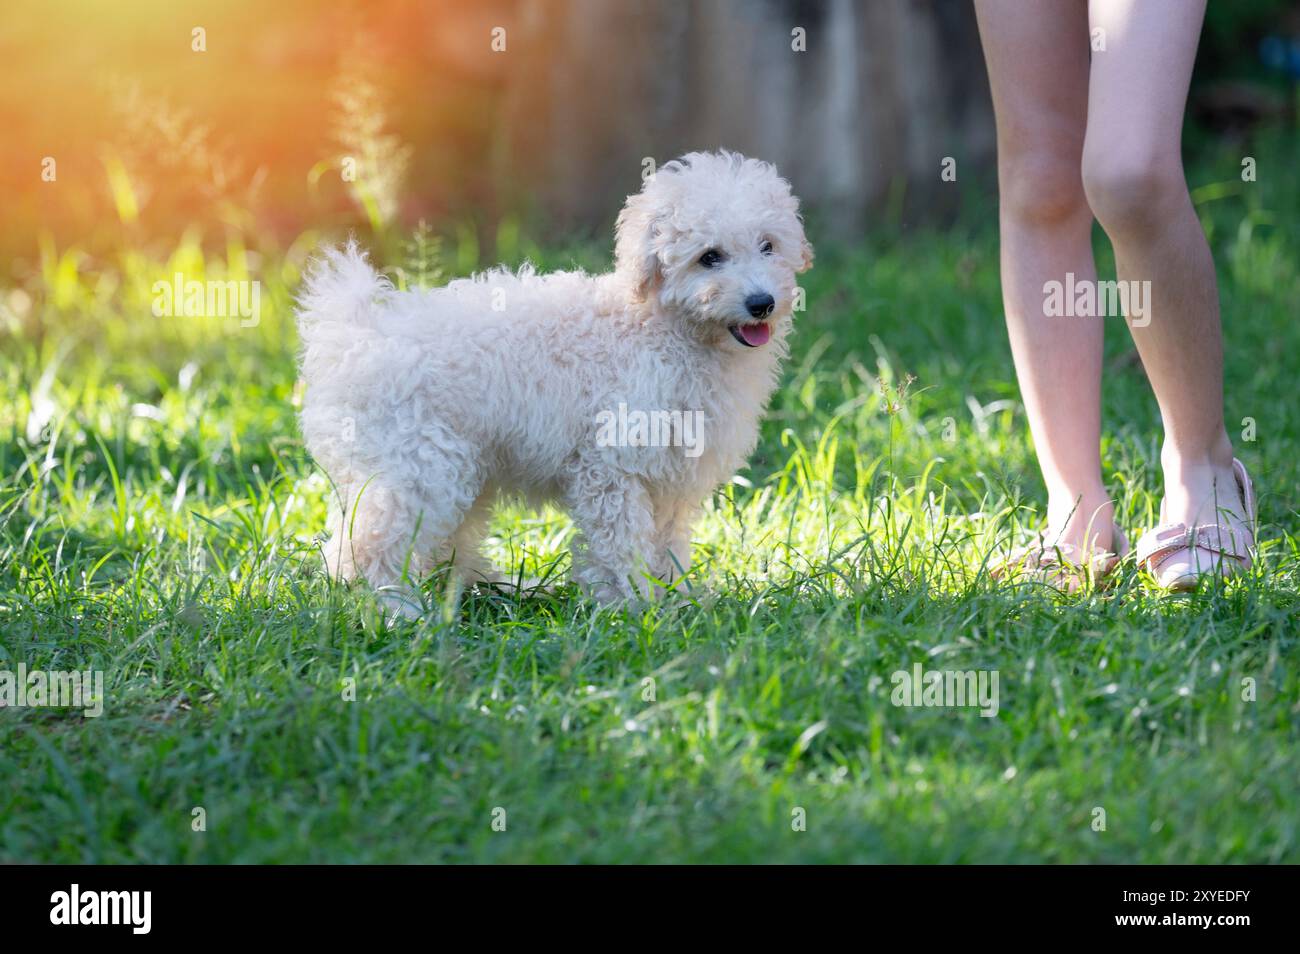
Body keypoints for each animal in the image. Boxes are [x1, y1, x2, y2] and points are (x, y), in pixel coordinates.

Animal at [297, 152, 811, 608]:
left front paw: (677, 602)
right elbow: (620, 543)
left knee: (433, 542)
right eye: (710, 257)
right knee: (370, 546)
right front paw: (631, 608)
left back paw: (483, 588)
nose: (761, 303)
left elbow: (666, 544)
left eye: (768, 245)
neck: (661, 326)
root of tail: (356, 332)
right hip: (419, 466)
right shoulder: (611, 467)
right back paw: (397, 610)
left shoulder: (670, 477)